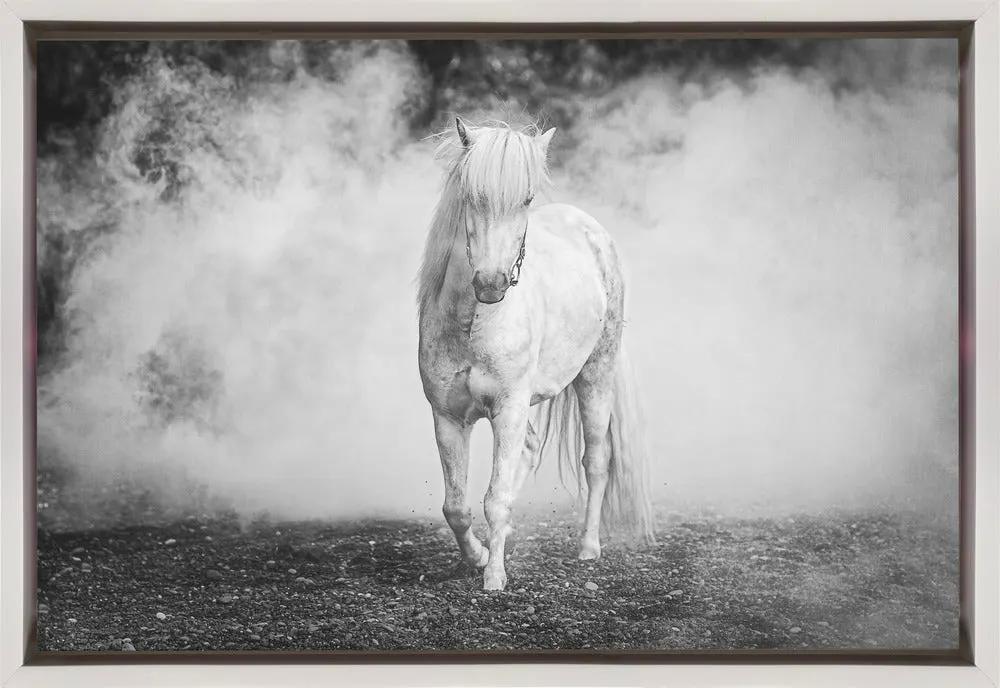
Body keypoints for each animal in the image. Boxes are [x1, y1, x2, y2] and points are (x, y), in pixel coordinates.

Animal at [417, 117, 655, 591]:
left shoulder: (508, 408)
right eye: (472, 196)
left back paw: (588, 548)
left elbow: (495, 498)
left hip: (596, 377)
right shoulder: (447, 416)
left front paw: (494, 578)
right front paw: (478, 557)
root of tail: (591, 229)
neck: (474, 323)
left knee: (596, 460)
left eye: (526, 199)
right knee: (526, 453)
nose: (491, 284)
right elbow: (457, 506)